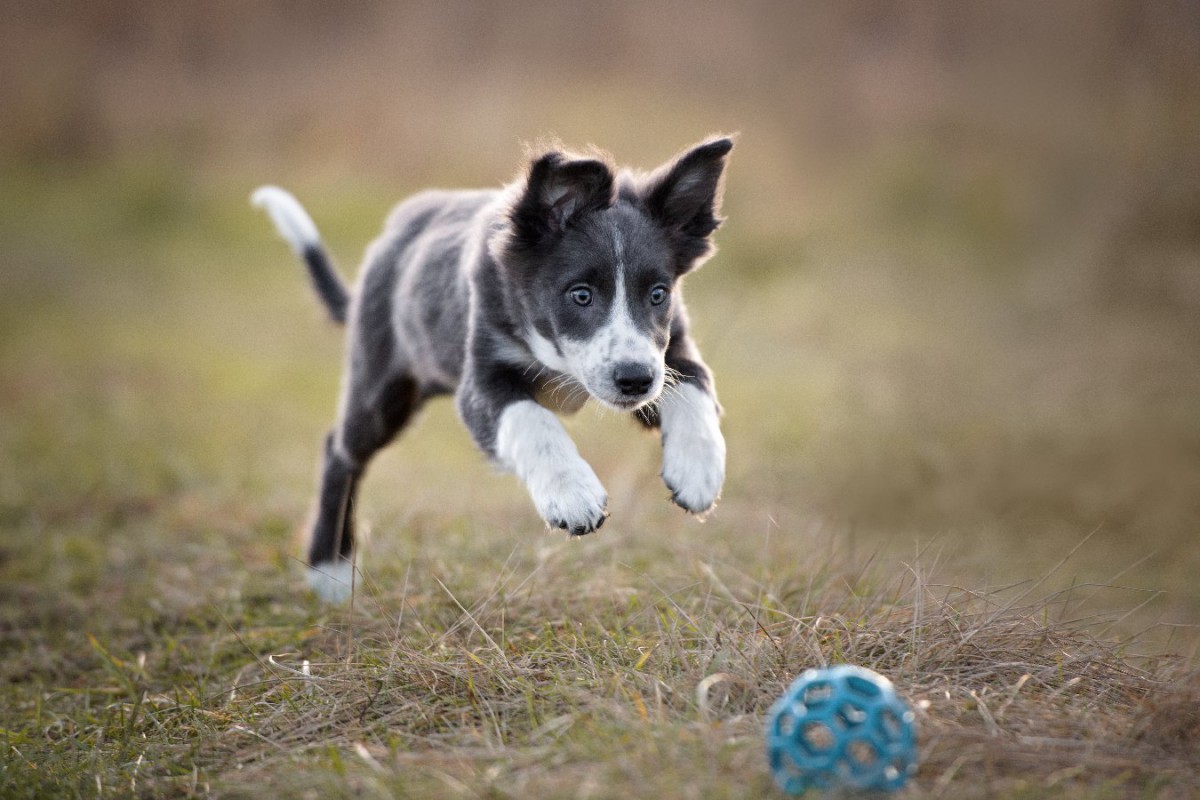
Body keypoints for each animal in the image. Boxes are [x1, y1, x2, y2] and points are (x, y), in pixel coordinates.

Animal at [253, 137, 729, 599]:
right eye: (580, 294)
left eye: (658, 294)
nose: (634, 380)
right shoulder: (481, 382)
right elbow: (532, 421)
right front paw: (571, 493)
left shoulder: (668, 355)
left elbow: (696, 389)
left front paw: (698, 471)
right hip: (381, 388)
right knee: (339, 452)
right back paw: (330, 570)